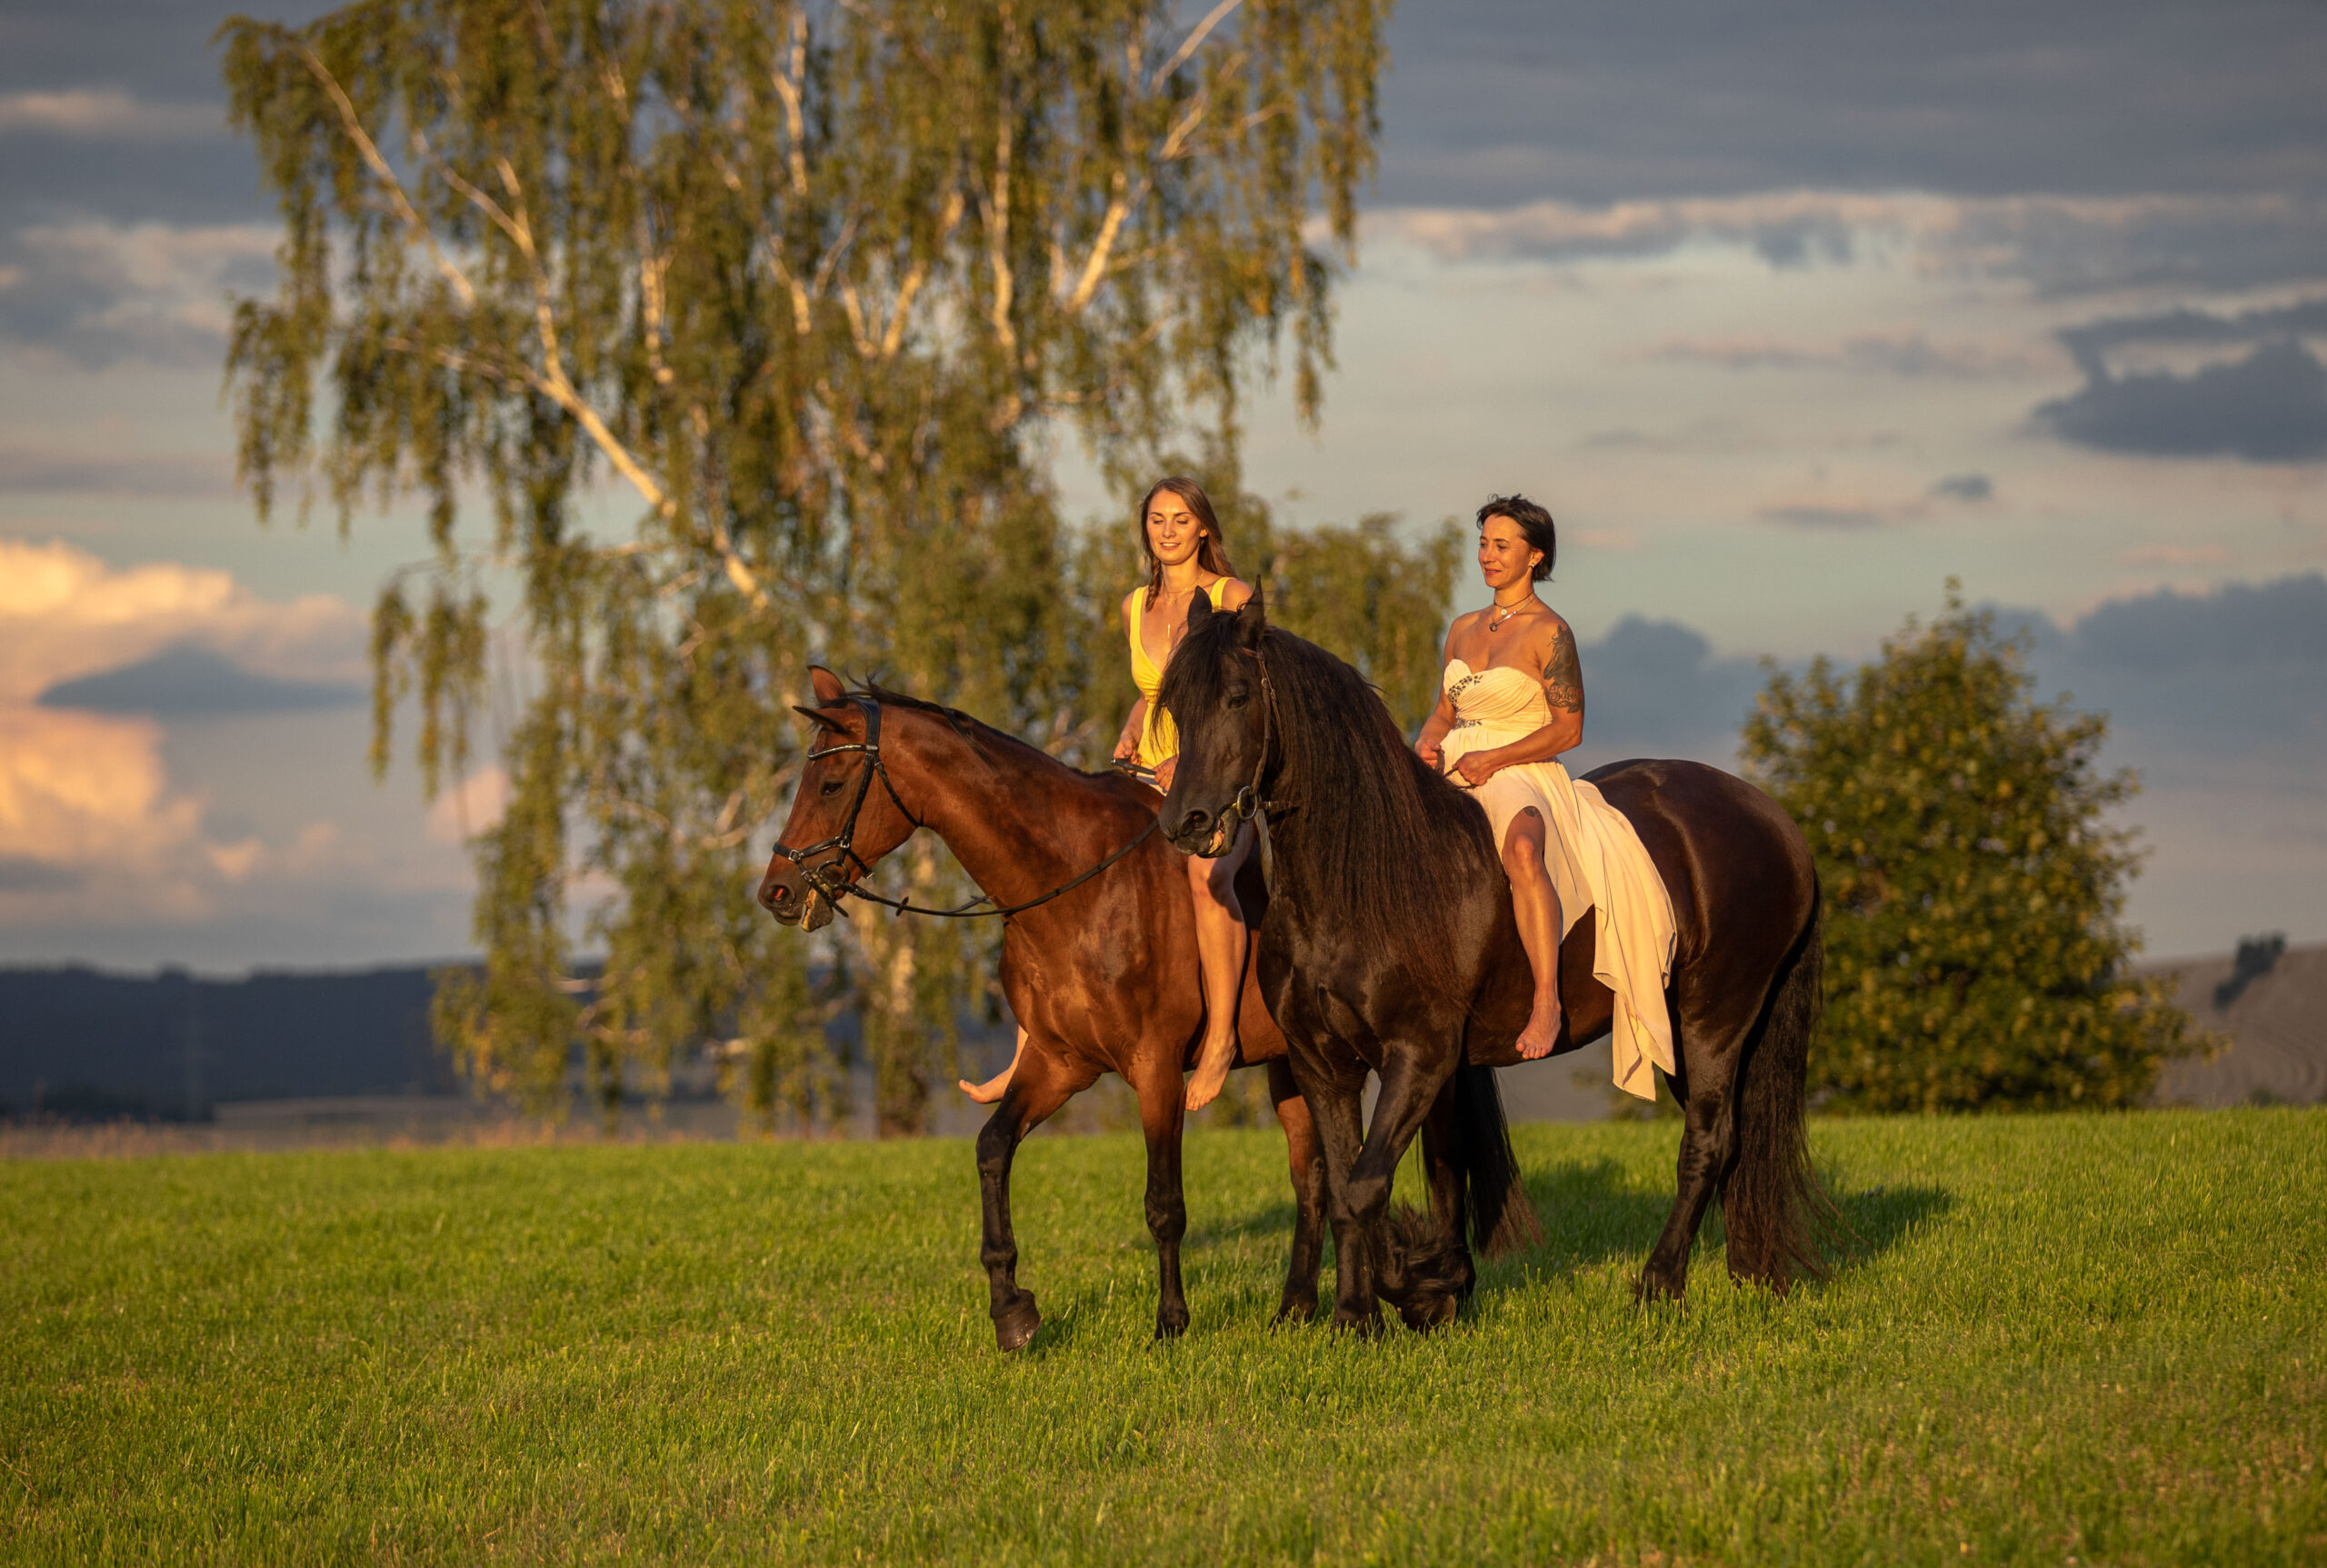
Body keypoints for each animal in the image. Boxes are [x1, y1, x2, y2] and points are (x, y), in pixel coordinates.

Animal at [754, 660, 1535, 1340]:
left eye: (830, 781)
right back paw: (1296, 1308)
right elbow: (992, 1149)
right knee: (1313, 1178)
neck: (1073, 887)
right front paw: (1012, 1310)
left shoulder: (1154, 1067)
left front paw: (1170, 1322)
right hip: (1293, 1061)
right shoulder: (1061, 1062)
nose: (776, 892)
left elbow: (1164, 1203)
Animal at [1164, 593, 1833, 1321]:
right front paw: (1360, 1316)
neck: (1371, 877)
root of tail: (1776, 820)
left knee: (1708, 1143)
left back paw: (1659, 1283)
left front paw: (1421, 1287)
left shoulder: (1420, 1055)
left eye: (1236, 696)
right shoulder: (1323, 1064)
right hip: (1692, 1032)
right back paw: (1750, 1275)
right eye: (1172, 704)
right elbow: (1350, 1189)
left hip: (1713, 1020)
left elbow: (1369, 1185)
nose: (1184, 822)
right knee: (1735, 1144)